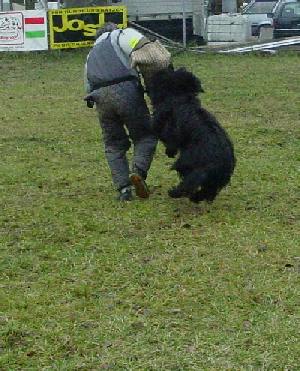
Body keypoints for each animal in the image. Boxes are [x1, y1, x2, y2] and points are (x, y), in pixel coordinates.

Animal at [149, 68, 236, 205]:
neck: (182, 97)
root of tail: (220, 164)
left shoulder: (168, 128)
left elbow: (166, 137)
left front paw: (169, 152)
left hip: (190, 166)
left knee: (187, 182)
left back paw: (175, 192)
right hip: (214, 180)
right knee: (207, 191)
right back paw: (194, 197)